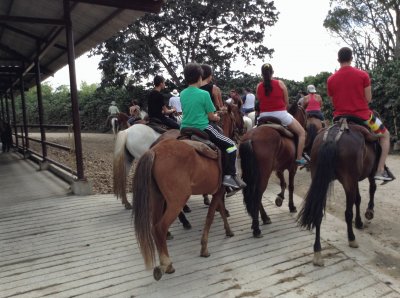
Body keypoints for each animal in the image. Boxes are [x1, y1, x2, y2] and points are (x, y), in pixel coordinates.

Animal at [133, 139, 233, 280]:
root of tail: (154, 151)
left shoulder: (218, 193)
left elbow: (222, 212)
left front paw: (228, 231)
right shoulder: (219, 192)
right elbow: (211, 217)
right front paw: (204, 249)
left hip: (157, 199)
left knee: (154, 228)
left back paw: (164, 264)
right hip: (177, 201)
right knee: (160, 228)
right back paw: (167, 264)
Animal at [239, 103, 308, 236]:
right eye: (305, 114)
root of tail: (251, 137)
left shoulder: (278, 169)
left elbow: (283, 183)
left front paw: (280, 198)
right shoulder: (292, 168)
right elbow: (290, 186)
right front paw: (291, 206)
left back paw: (262, 219)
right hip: (264, 174)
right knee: (258, 194)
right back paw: (257, 226)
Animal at [296, 118, 378, 266]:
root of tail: (332, 138)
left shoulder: (355, 180)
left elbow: (358, 199)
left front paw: (359, 222)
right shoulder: (367, 174)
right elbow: (370, 190)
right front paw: (368, 213)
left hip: (321, 178)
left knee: (318, 212)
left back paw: (317, 251)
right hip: (348, 181)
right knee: (348, 213)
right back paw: (351, 238)